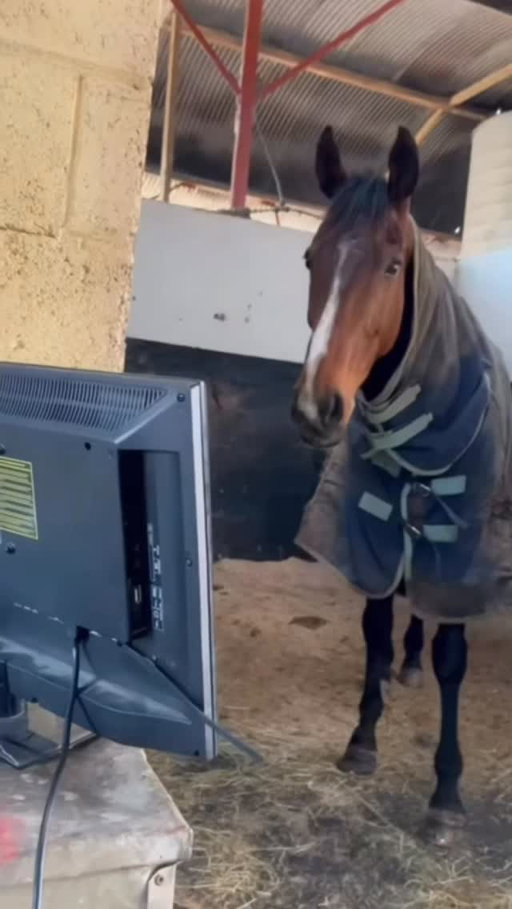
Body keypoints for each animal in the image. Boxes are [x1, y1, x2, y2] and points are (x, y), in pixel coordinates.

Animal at [291, 124, 512, 846]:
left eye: (392, 266)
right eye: (311, 257)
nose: (317, 408)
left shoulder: (464, 545)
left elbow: (454, 656)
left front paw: (446, 790)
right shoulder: (372, 527)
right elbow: (377, 626)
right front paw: (362, 739)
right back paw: (406, 665)